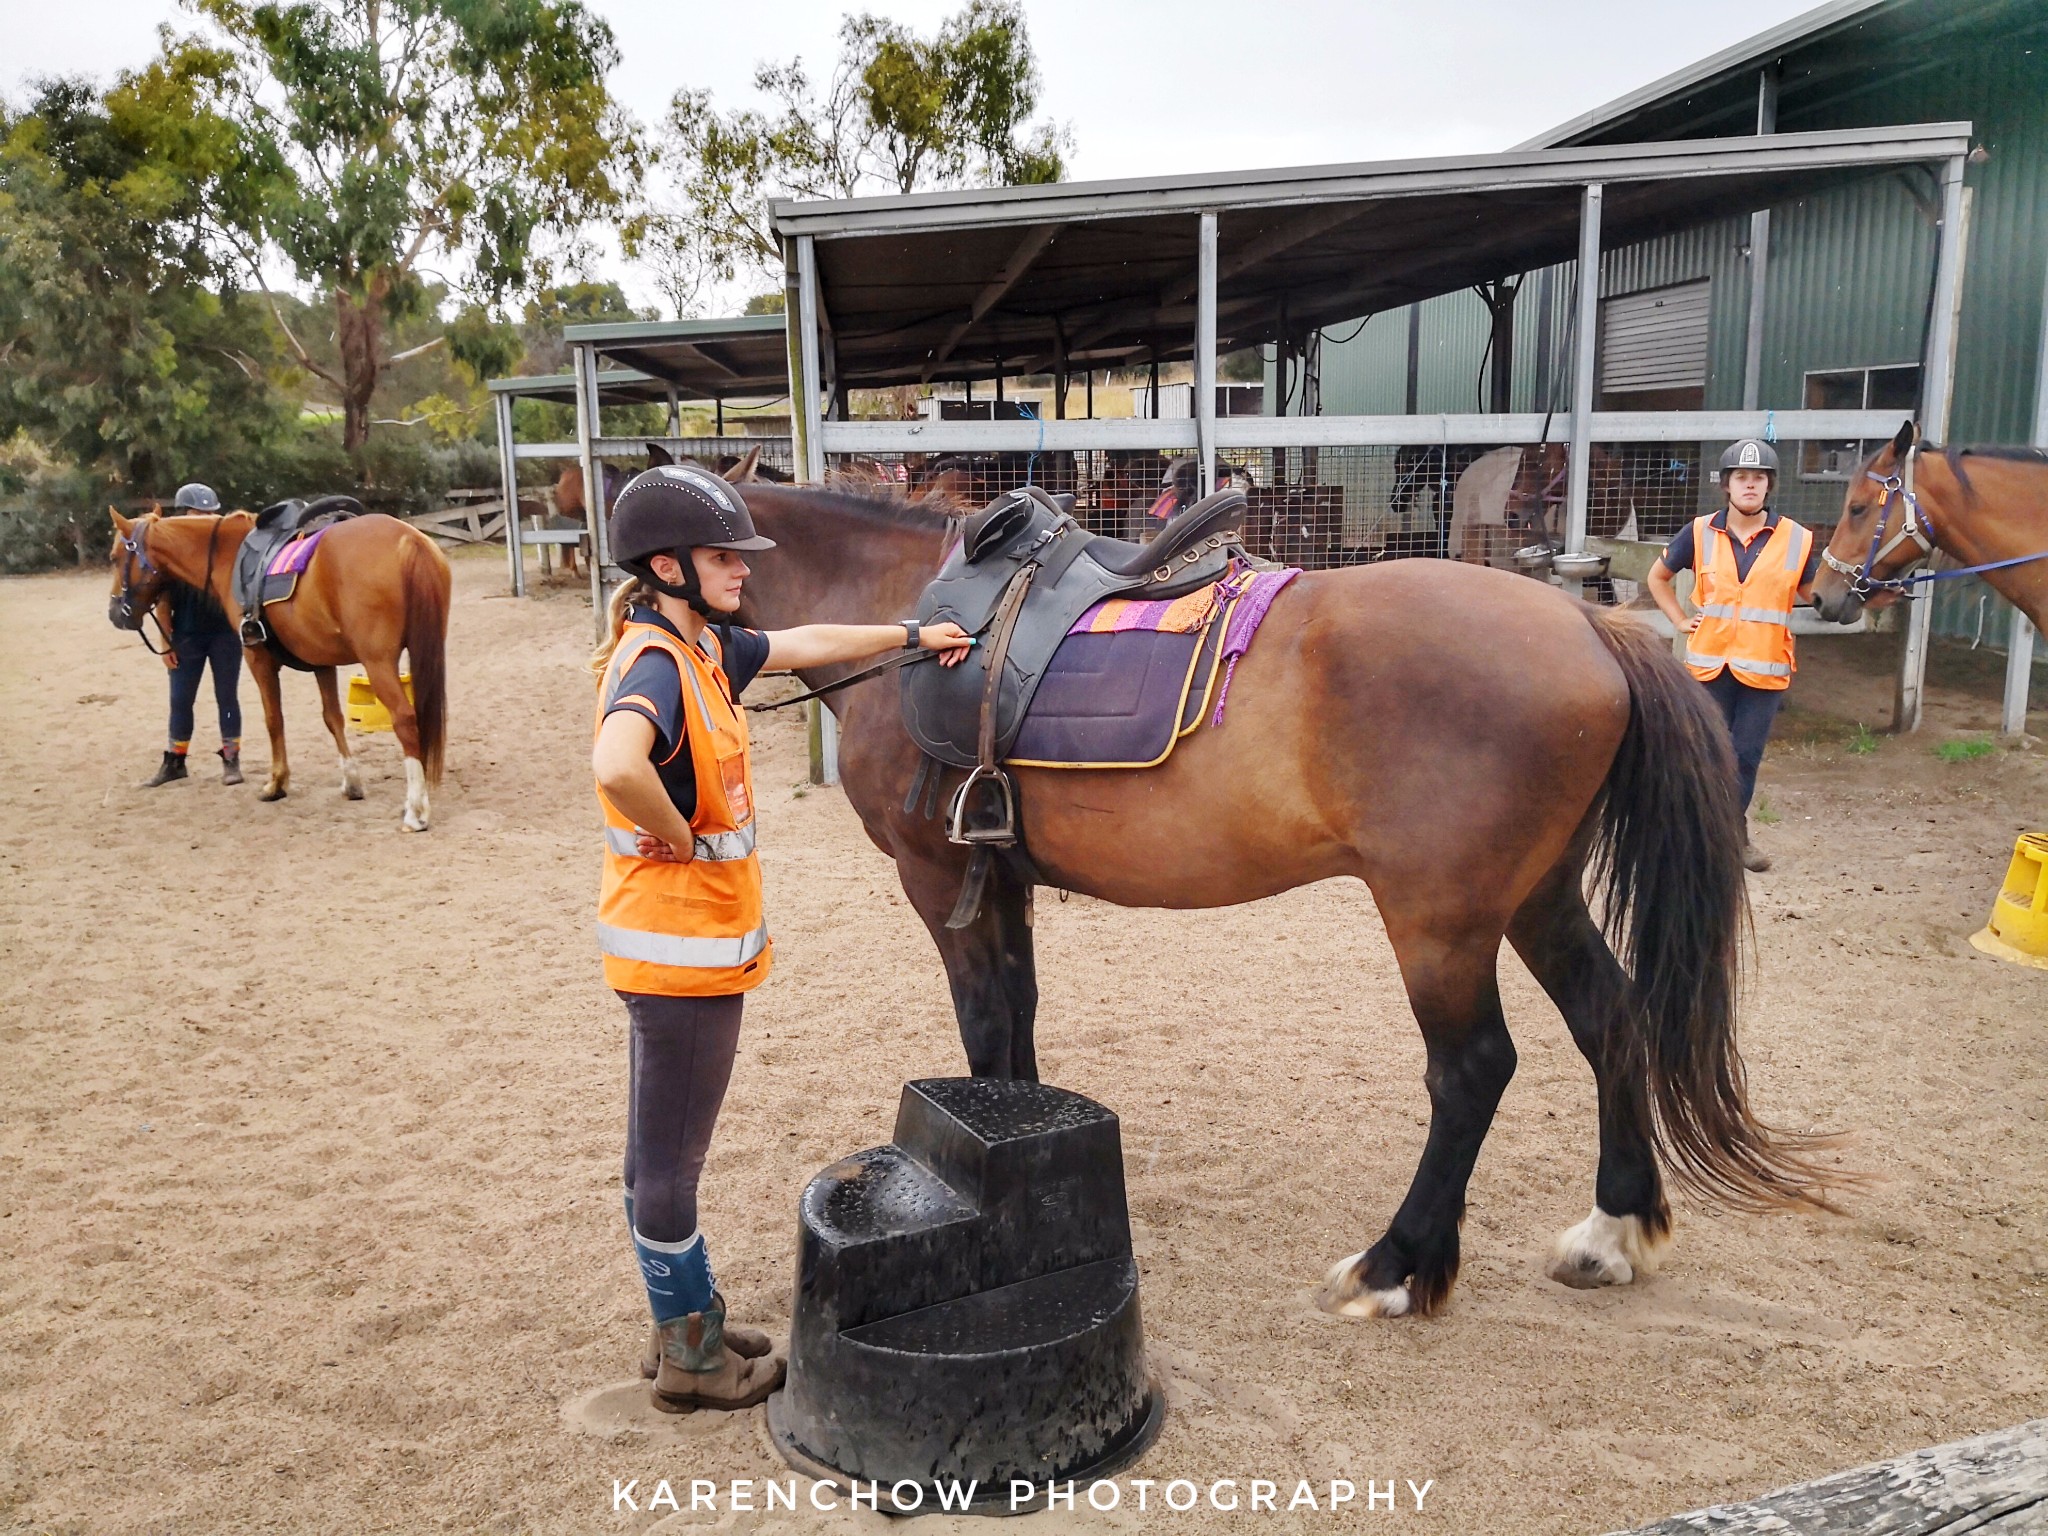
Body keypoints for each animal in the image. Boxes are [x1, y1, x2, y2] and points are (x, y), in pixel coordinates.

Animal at [105, 499, 450, 831]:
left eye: (114, 557)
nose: (115, 613)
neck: (229, 555)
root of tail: (408, 540)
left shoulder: (258, 658)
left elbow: (274, 720)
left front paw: (277, 783)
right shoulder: (320, 661)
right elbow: (333, 718)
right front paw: (351, 781)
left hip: (378, 663)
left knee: (404, 719)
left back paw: (416, 810)